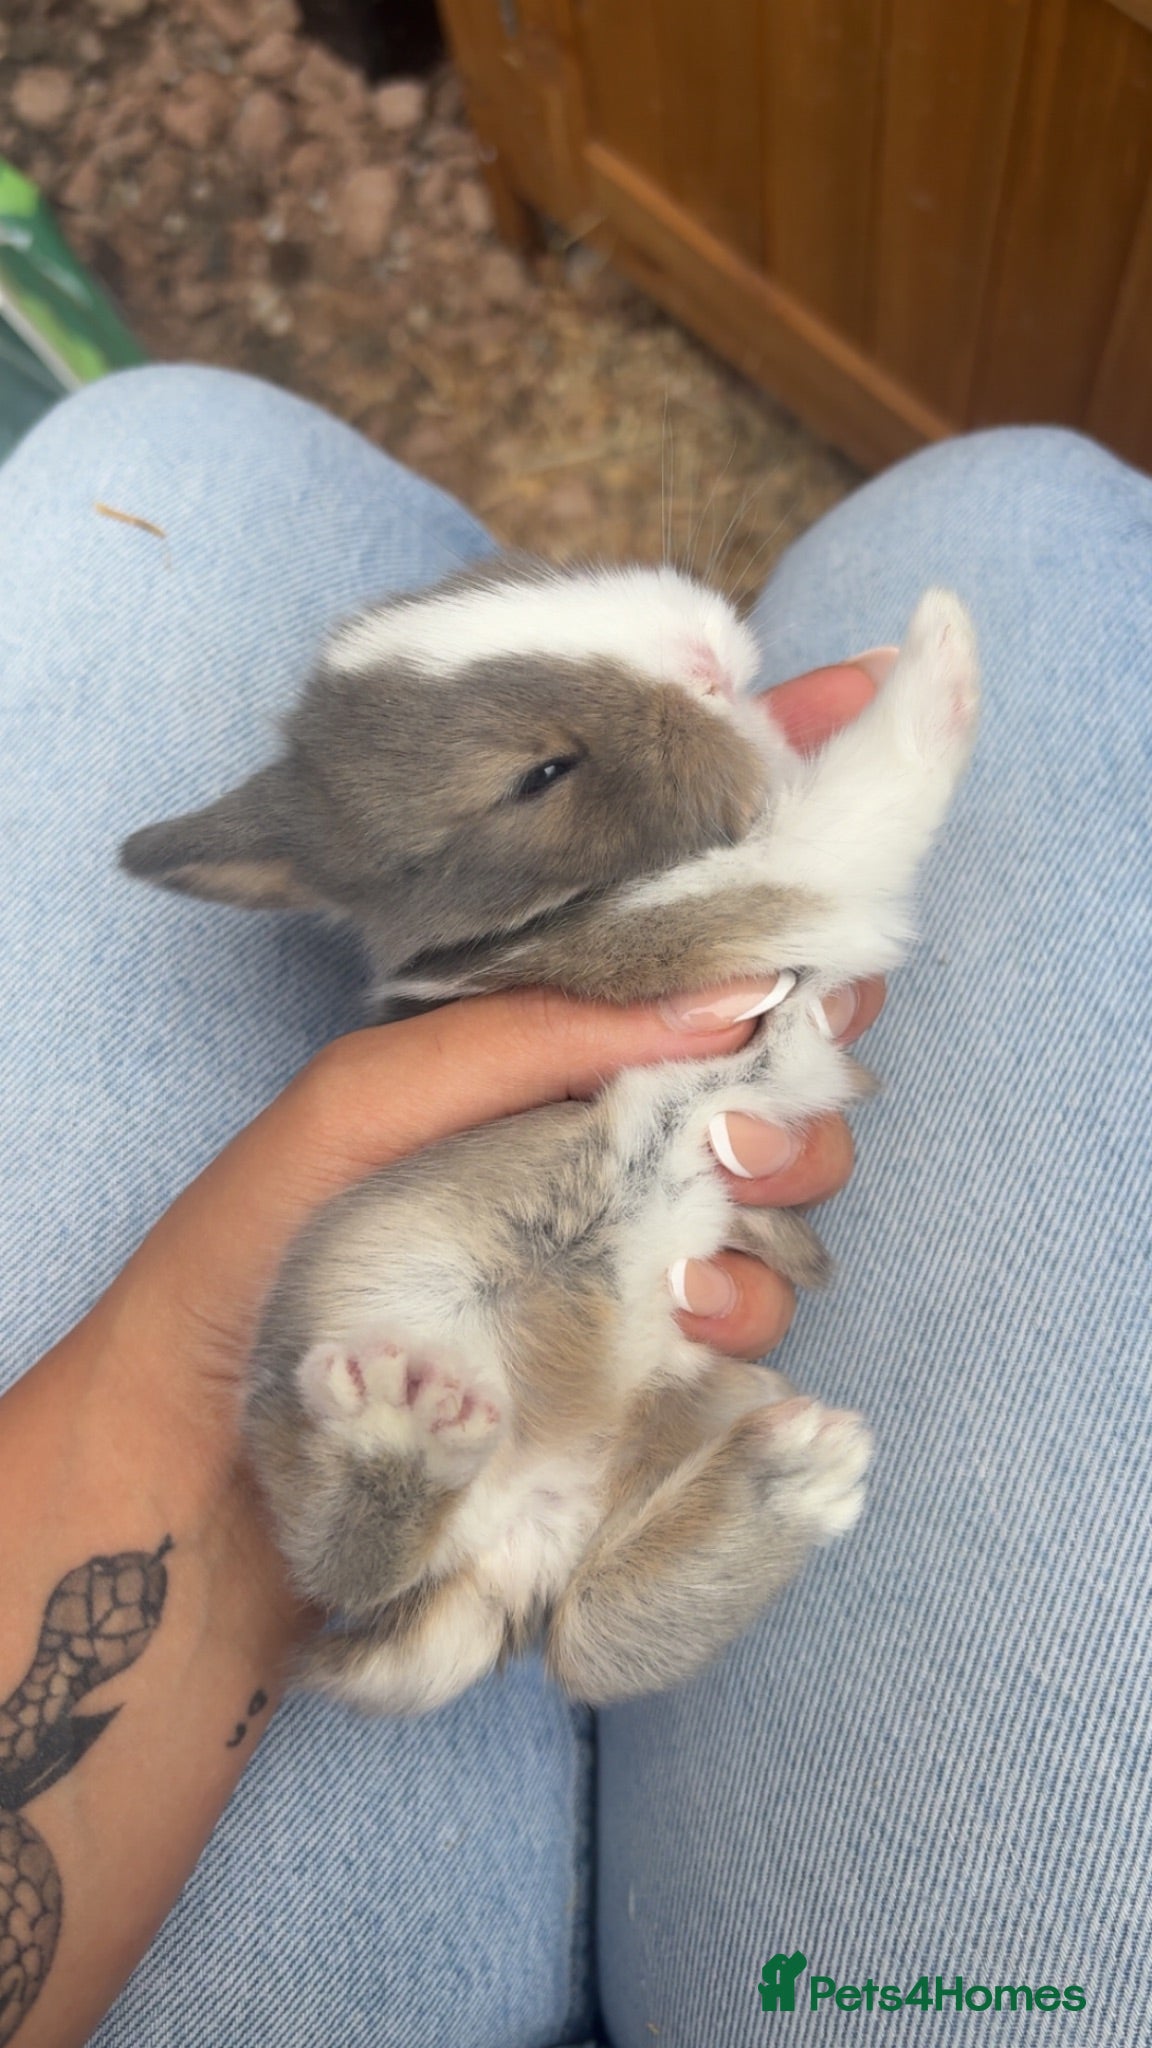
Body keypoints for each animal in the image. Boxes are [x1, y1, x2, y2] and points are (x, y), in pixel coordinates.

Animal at [120, 556, 980, 1713]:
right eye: (541, 774)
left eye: (511, 572)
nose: (704, 658)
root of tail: (521, 1531)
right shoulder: (768, 894)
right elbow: (875, 788)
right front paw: (940, 637)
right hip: (378, 1321)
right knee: (350, 1564)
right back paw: (399, 1430)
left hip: (692, 1402)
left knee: (593, 1632)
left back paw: (793, 1474)